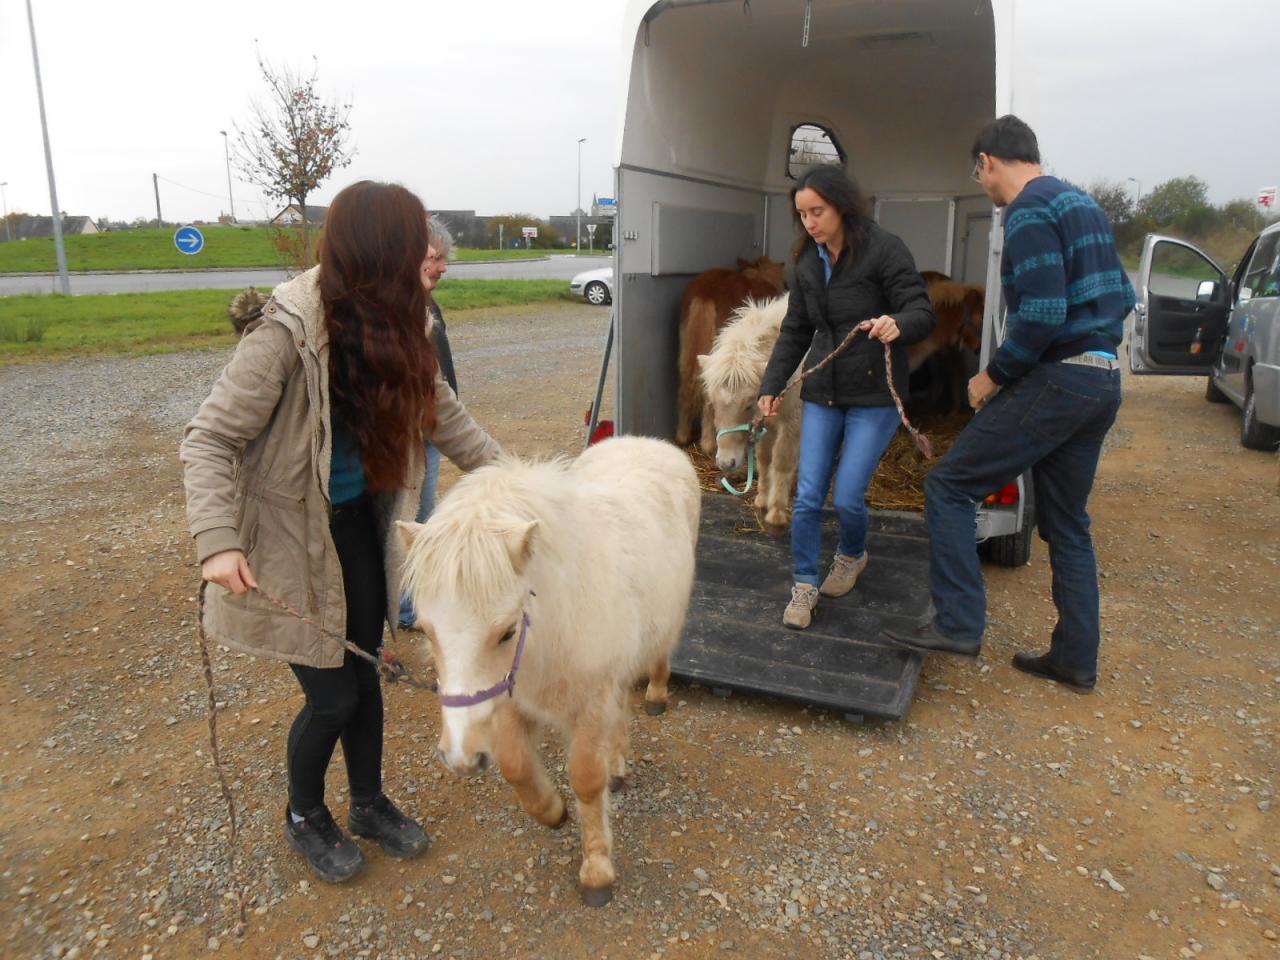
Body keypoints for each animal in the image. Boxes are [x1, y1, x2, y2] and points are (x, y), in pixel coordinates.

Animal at [396, 440, 701, 906]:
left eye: (507, 632)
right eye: (427, 630)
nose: (460, 758)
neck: (554, 623)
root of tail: (652, 444)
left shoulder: (590, 705)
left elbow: (587, 780)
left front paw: (597, 871)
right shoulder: (509, 700)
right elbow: (515, 765)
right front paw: (552, 811)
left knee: (657, 661)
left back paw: (655, 696)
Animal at [701, 293, 798, 535]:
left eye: (748, 404)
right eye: (713, 403)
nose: (726, 463)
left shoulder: (792, 422)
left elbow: (781, 461)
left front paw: (776, 513)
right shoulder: (767, 423)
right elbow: (763, 459)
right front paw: (762, 500)